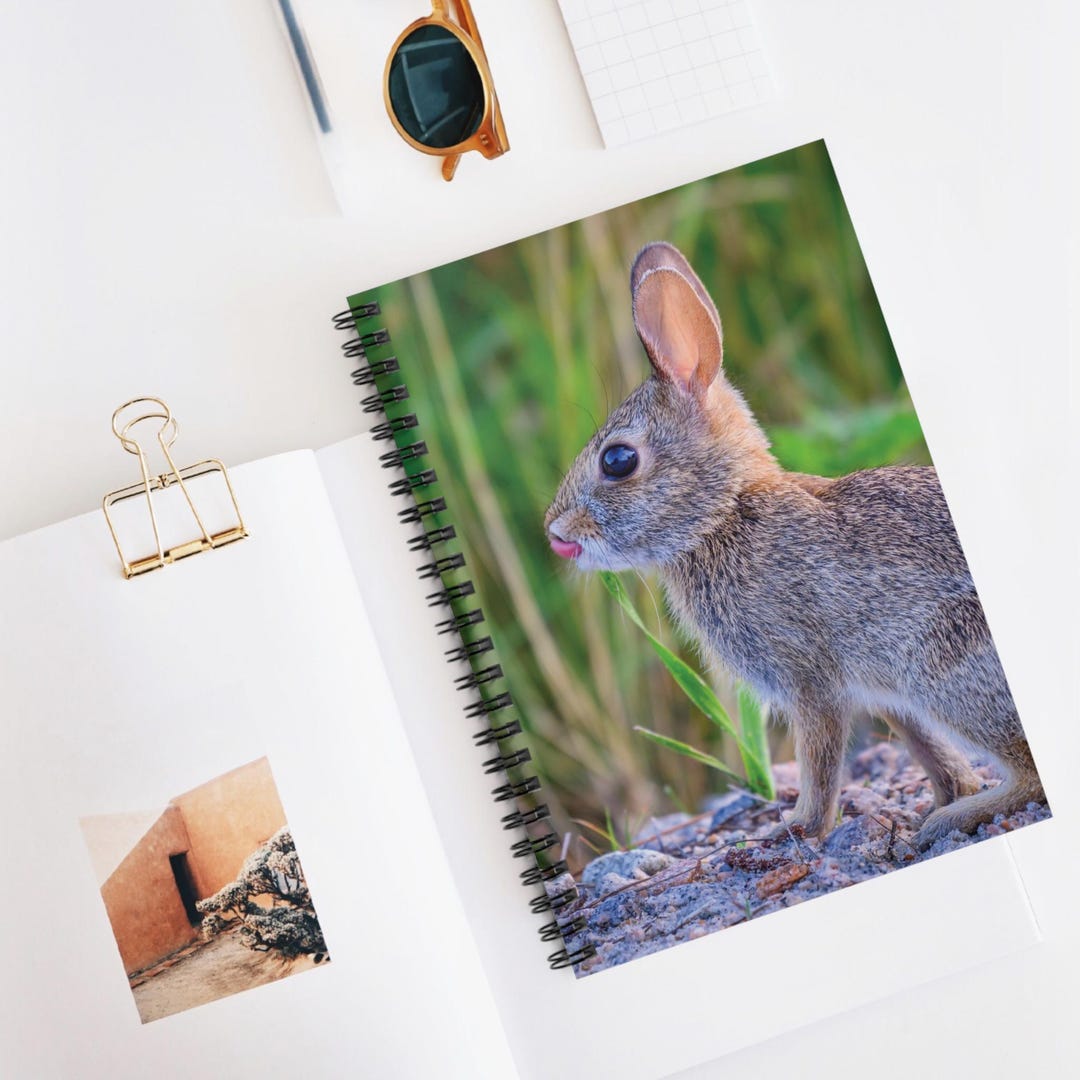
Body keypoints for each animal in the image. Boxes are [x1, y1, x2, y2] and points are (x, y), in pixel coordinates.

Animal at [544, 241, 1043, 851]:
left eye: (617, 460)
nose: (556, 534)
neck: (724, 515)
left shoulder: (811, 679)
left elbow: (821, 760)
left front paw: (795, 828)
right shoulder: (884, 697)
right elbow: (931, 755)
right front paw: (942, 795)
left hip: (946, 666)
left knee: (1028, 771)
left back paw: (954, 820)